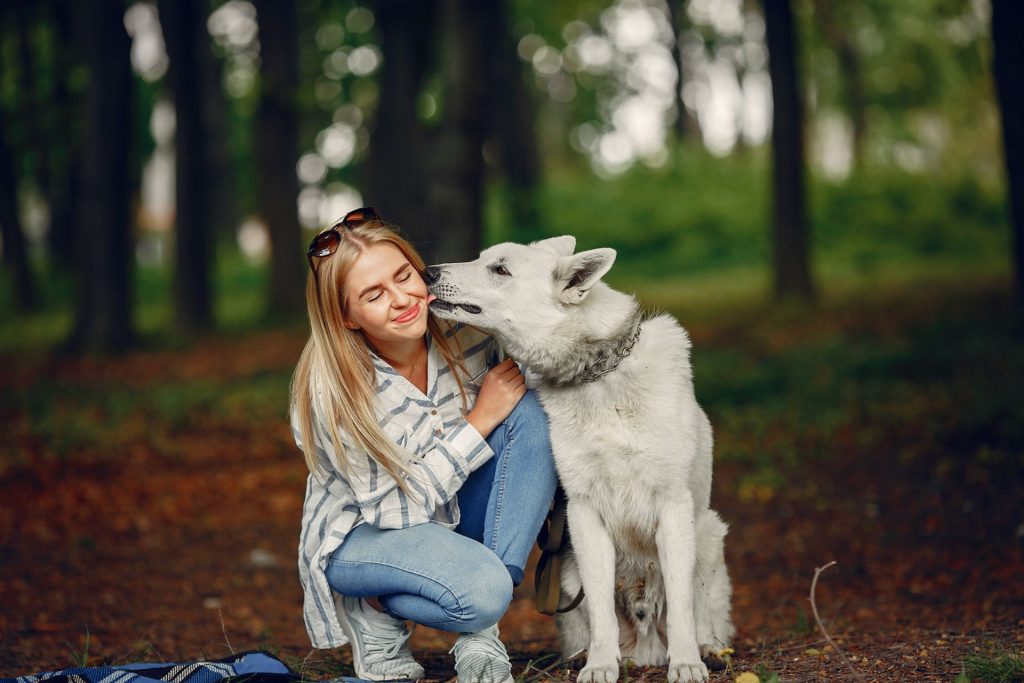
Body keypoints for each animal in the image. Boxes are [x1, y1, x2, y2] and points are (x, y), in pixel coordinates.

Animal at [425, 239, 737, 683]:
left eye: (500, 270)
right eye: (482, 258)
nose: (428, 272)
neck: (599, 375)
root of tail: (647, 647)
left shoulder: (674, 507)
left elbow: (680, 607)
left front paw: (687, 664)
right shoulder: (584, 511)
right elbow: (603, 611)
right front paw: (601, 665)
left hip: (708, 536)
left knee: (702, 615)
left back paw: (707, 651)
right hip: (570, 570)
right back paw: (589, 657)